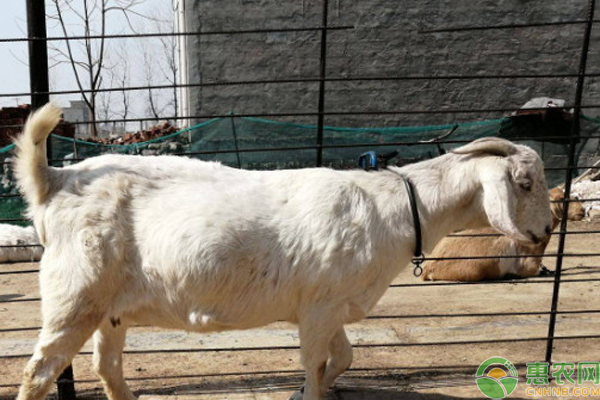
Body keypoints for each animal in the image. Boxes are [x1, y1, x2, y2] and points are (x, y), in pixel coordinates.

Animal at [14, 104, 552, 400]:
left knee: (106, 367)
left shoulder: (330, 305)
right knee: (39, 373)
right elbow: (315, 367)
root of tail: (53, 180)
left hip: (110, 307)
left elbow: (344, 357)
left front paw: (300, 390)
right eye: (524, 184)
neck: (396, 206)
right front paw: (305, 390)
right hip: (74, 295)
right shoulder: (317, 308)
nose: (547, 229)